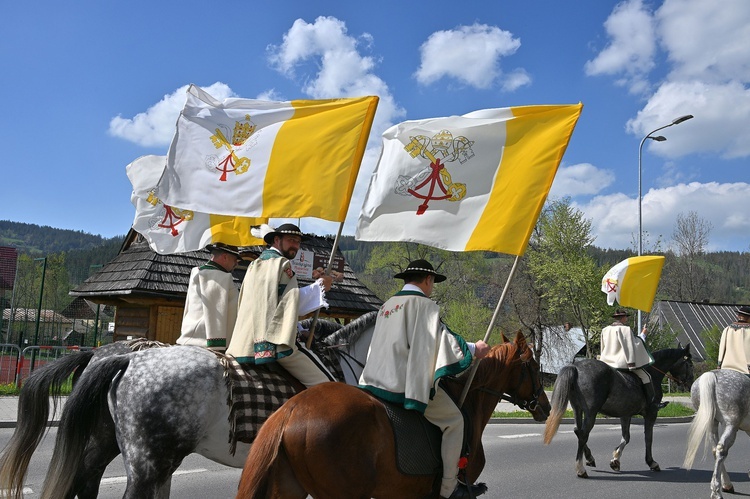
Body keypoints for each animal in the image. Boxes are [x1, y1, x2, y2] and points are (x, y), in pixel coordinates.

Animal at [544, 346, 696, 478]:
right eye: (690, 364)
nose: (691, 385)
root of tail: (576, 367)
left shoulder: (625, 414)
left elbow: (626, 437)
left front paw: (616, 459)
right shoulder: (651, 414)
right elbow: (648, 438)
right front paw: (651, 462)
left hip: (577, 408)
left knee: (577, 430)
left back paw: (590, 458)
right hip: (591, 412)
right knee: (583, 434)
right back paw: (580, 469)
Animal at [684, 368, 750, 499]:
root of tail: (711, 374)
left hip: (712, 423)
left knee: (715, 450)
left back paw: (726, 485)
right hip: (731, 425)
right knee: (721, 450)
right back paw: (716, 492)